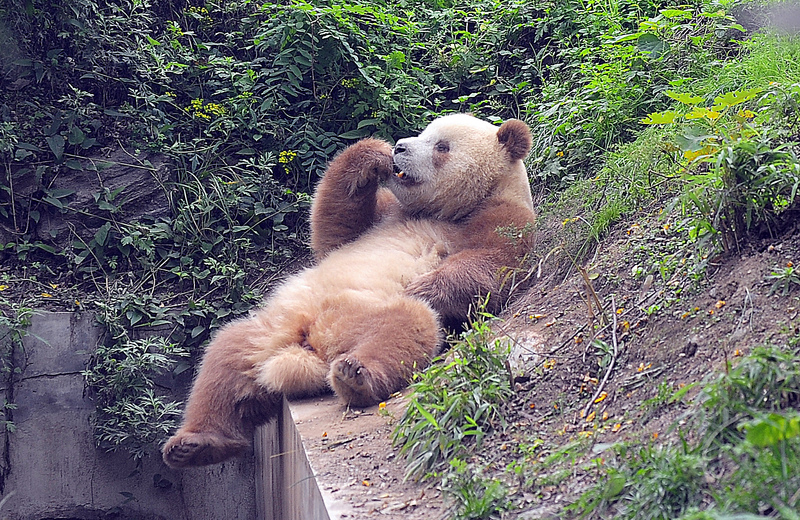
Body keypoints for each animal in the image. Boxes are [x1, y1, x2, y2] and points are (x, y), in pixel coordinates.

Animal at [161, 114, 536, 468]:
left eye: (441, 147)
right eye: (423, 133)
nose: (400, 147)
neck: (450, 209)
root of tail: (311, 347)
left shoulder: (502, 221)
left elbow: (492, 270)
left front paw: (427, 284)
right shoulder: (386, 215)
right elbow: (333, 226)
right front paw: (374, 156)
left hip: (363, 314)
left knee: (407, 324)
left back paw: (355, 374)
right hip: (270, 327)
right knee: (224, 362)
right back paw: (195, 444)